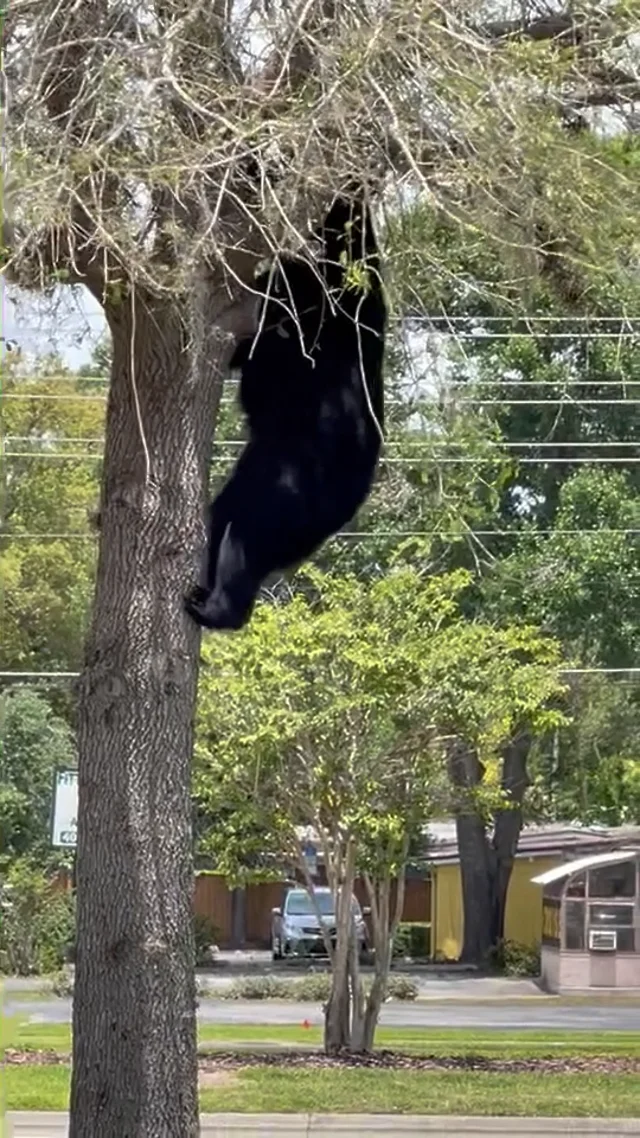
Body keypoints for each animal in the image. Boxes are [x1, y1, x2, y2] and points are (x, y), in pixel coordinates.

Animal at [182, 188, 387, 632]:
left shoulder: (335, 317)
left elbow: (350, 247)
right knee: (224, 519)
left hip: (289, 492)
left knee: (245, 536)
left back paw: (220, 608)